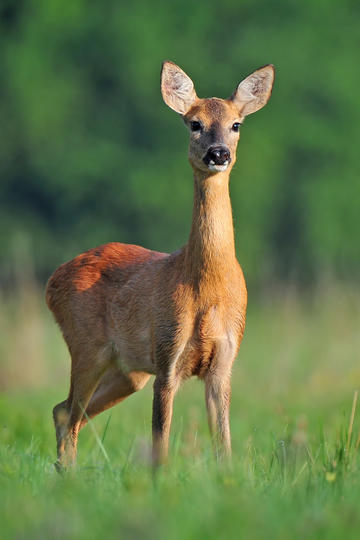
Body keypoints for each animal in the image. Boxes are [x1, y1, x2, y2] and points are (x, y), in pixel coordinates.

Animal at [45, 61, 276, 470]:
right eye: (194, 123)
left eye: (236, 124)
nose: (218, 153)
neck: (207, 286)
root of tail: (51, 281)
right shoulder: (168, 354)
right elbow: (160, 444)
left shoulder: (224, 361)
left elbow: (224, 446)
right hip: (87, 346)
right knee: (69, 415)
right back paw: (67, 474)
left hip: (127, 371)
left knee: (64, 410)